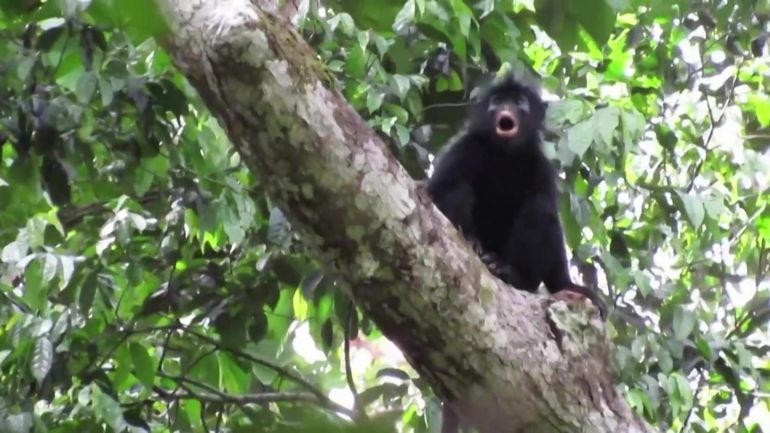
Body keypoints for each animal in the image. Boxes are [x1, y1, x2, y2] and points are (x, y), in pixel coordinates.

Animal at [426, 71, 607, 319]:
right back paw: (472, 243)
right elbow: (434, 191)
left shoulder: (540, 166)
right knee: (458, 187)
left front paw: (566, 285)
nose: (506, 107)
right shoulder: (464, 148)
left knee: (539, 206)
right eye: (497, 101)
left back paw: (511, 273)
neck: (505, 154)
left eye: (519, 102)